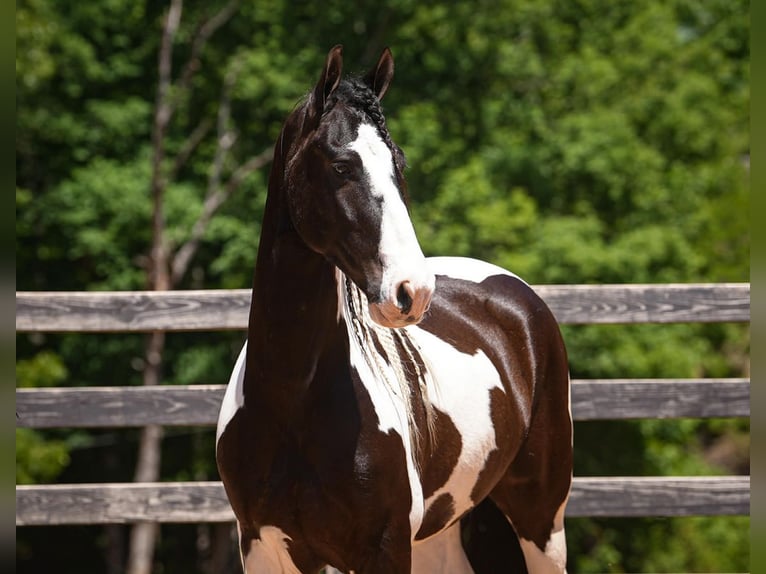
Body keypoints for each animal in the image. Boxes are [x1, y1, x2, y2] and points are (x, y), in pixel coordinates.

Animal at [216, 45, 572, 573]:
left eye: (398, 162)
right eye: (341, 165)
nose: (413, 290)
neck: (292, 401)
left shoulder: (384, 546)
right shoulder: (263, 545)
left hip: (541, 518)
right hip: (440, 536)